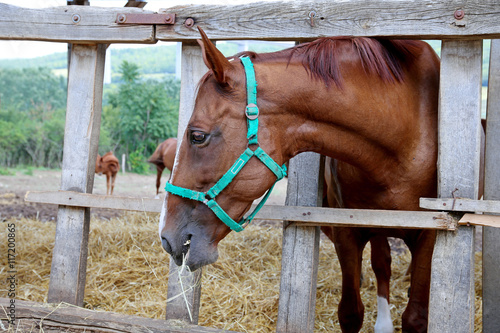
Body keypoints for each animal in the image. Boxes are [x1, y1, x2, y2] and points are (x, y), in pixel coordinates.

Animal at [161, 28, 442, 332]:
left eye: (197, 136)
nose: (166, 237)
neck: (402, 132)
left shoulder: (430, 235)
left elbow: (415, 317)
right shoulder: (346, 231)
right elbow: (351, 312)